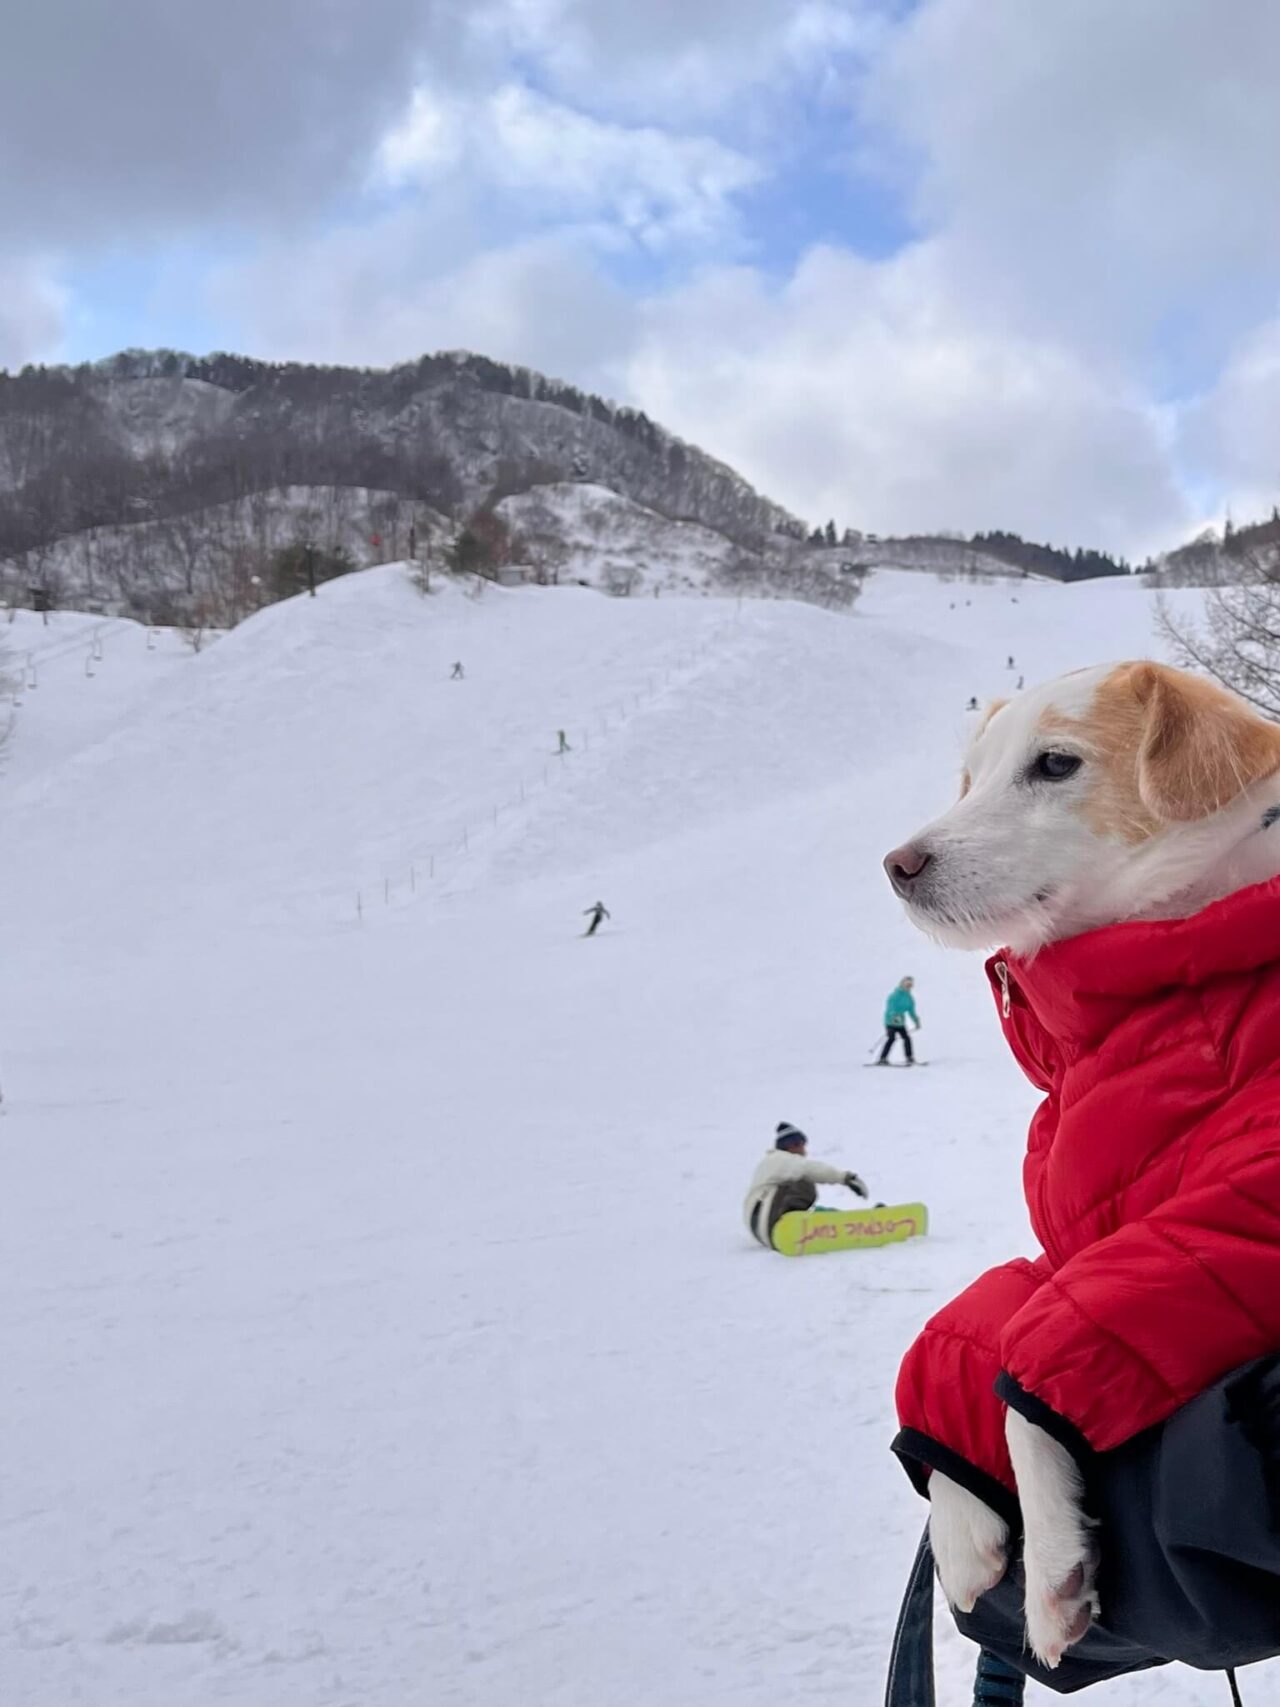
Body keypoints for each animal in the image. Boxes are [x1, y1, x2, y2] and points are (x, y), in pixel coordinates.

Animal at [887, 662, 1280, 1666]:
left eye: (1056, 764)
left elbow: (1035, 1376)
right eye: (972, 776)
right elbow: (984, 1325)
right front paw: (962, 1532)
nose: (898, 864)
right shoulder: (1063, 1246)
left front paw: (1052, 1567)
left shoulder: (1227, 1219)